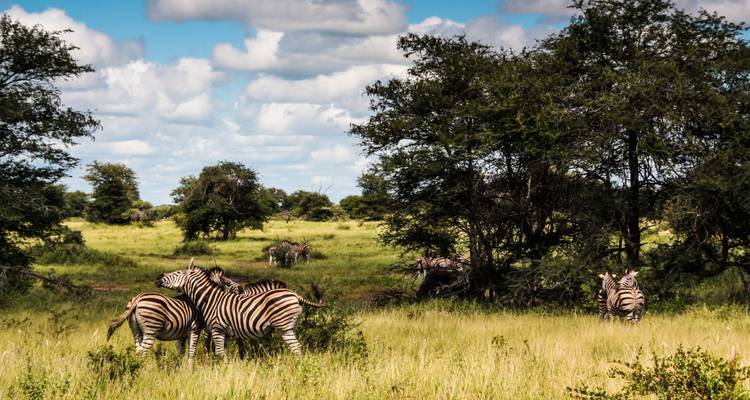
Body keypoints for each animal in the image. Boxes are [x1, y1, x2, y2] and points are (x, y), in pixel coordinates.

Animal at [155, 263, 324, 356]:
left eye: (177, 273)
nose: (157, 277)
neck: (211, 299)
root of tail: (295, 294)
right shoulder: (228, 333)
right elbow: (225, 353)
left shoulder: (217, 329)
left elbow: (220, 354)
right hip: (291, 327)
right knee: (297, 347)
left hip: (284, 327)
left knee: (296, 348)